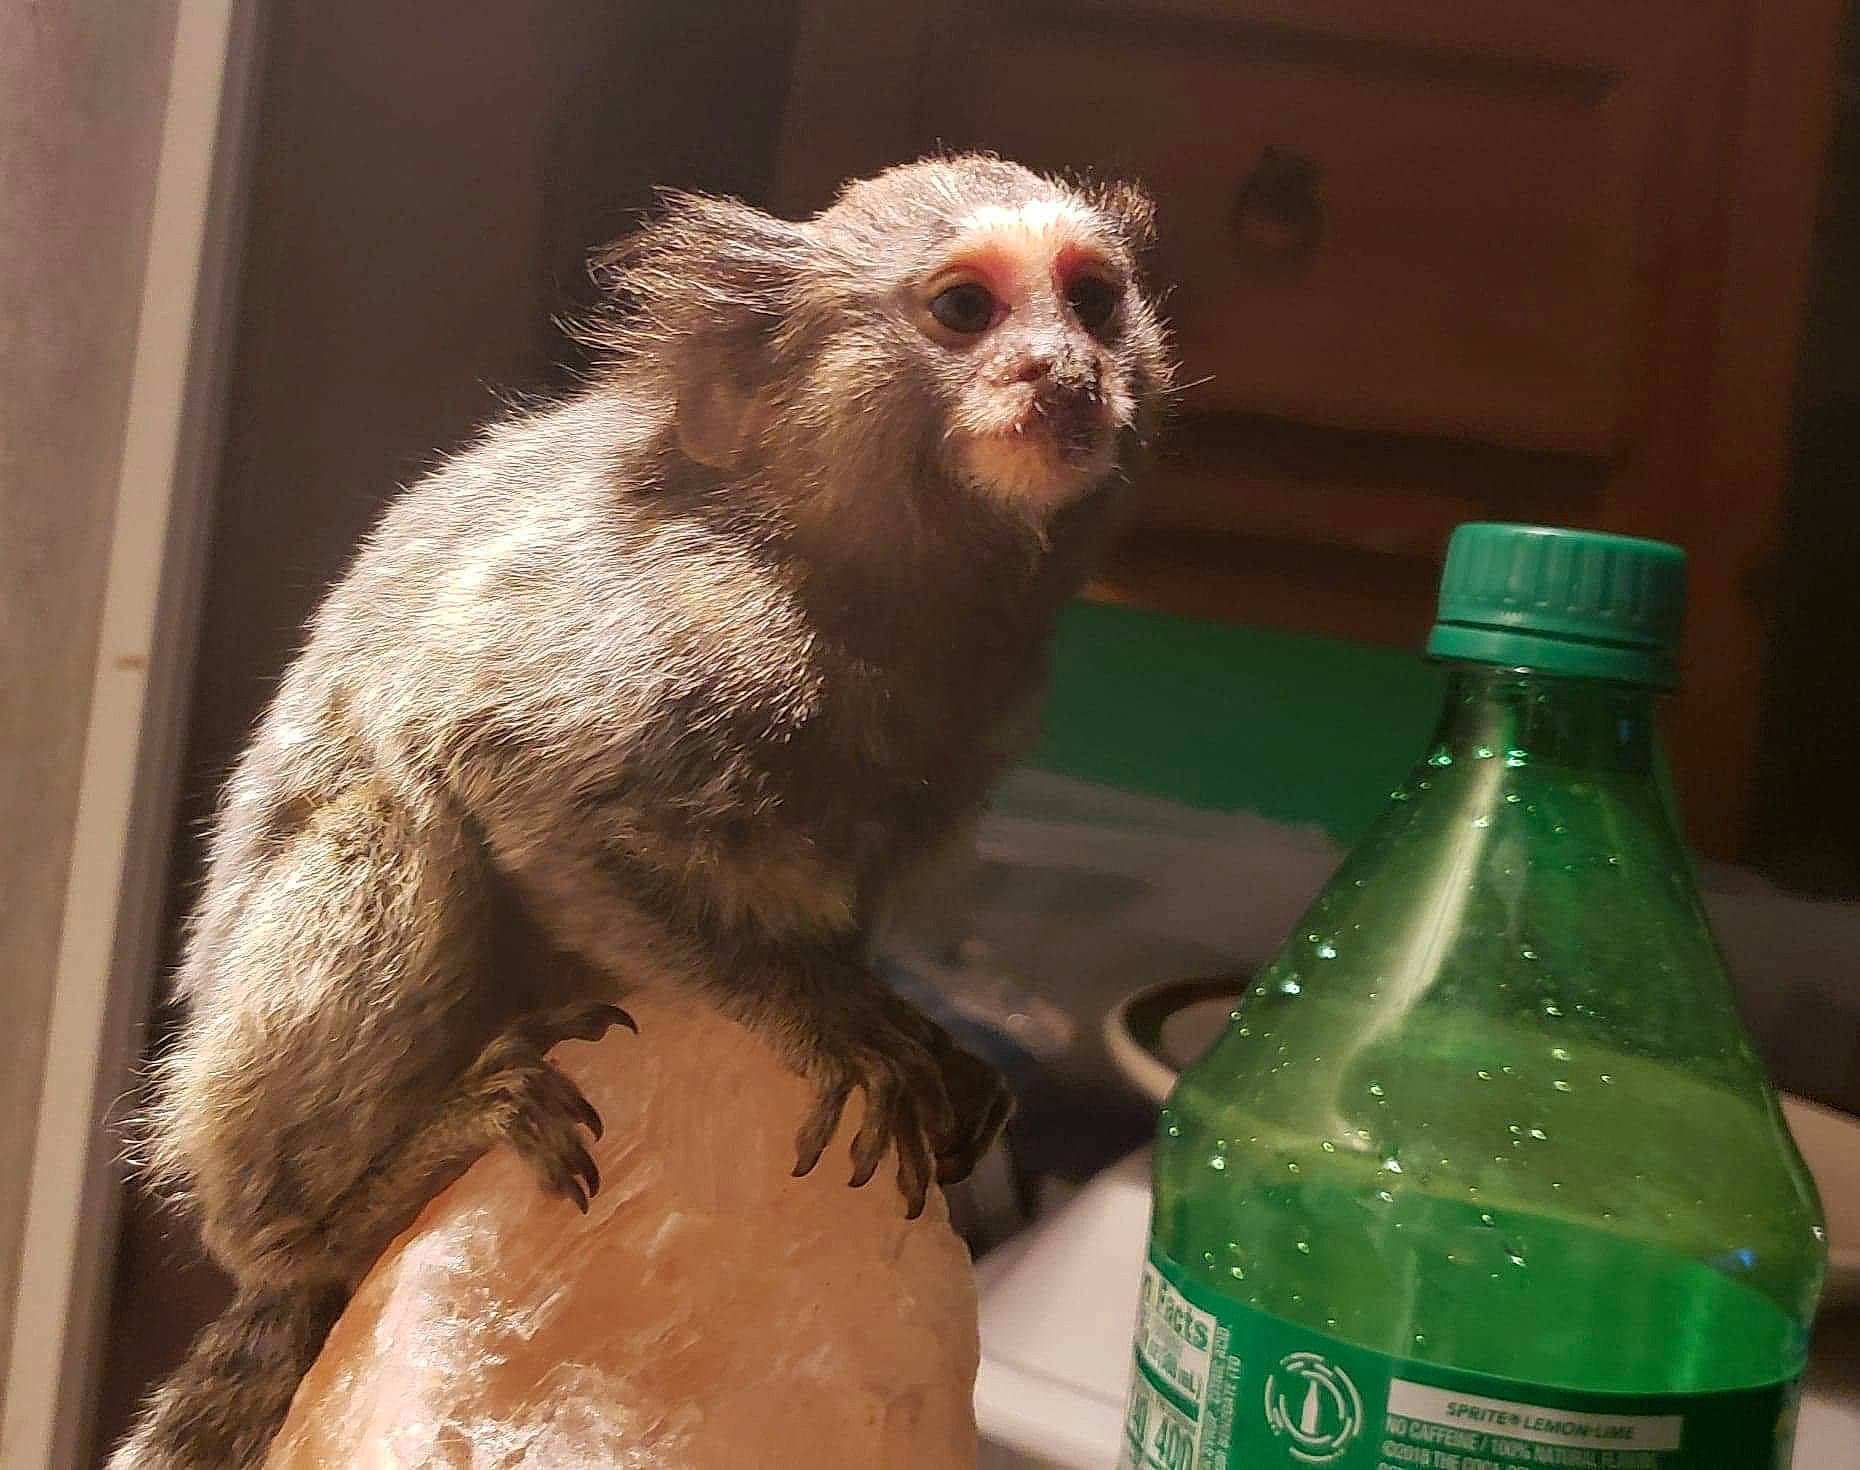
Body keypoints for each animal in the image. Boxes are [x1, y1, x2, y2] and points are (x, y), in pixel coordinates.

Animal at [108, 154, 1172, 1469]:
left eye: (1094, 301)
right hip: (249, 1099)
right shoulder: (681, 623)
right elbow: (508, 773)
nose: (1065, 373)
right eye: (965, 309)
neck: (870, 592)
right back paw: (343, 1207)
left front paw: (898, 1019)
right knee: (389, 834)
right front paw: (826, 1022)